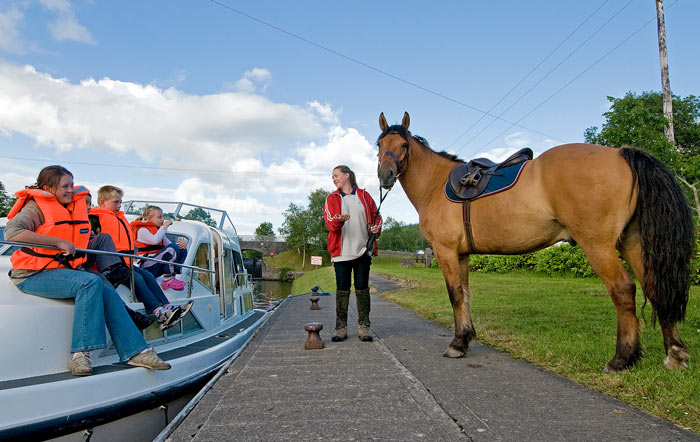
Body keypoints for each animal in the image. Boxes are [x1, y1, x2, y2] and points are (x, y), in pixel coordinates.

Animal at [378, 112, 696, 372]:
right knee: (655, 287)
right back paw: (674, 354)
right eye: (379, 145)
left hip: (598, 245)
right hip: (632, 243)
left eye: (403, 145)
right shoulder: (461, 255)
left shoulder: (445, 251)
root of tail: (619, 153)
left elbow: (455, 294)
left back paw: (622, 359)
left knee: (623, 289)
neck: (436, 184)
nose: (385, 175)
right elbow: (466, 294)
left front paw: (457, 345)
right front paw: (465, 338)